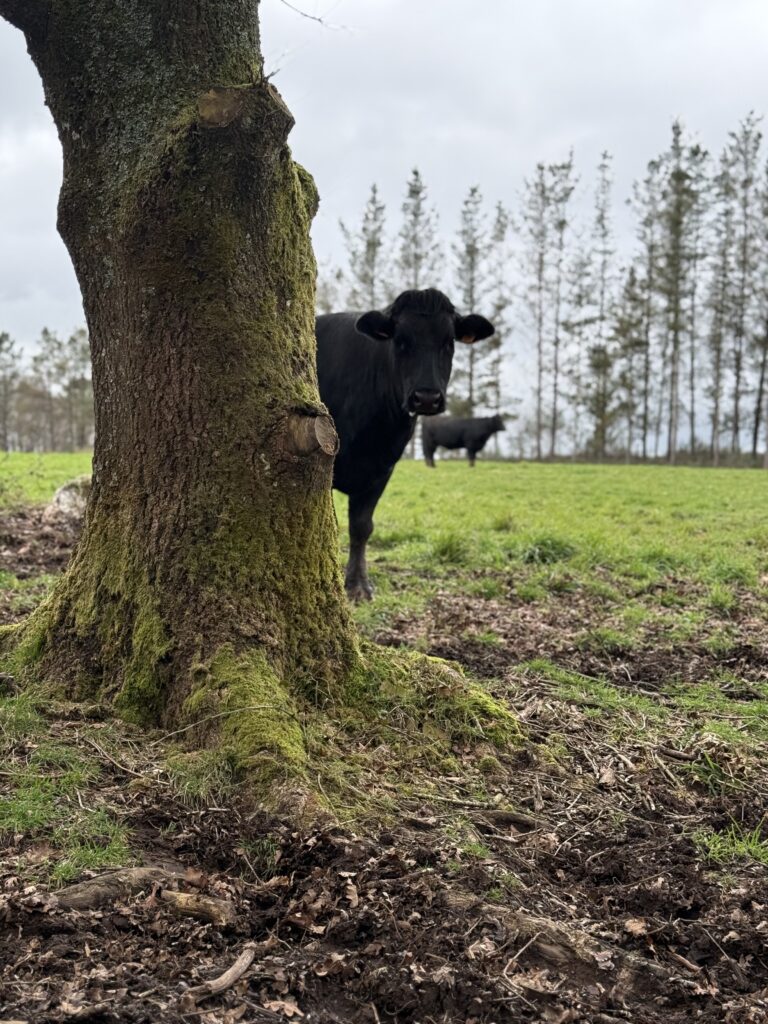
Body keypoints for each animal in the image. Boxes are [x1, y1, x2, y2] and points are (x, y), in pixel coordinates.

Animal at [316, 288, 494, 601]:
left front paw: (358, 585)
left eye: (448, 342)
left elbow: (361, 527)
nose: (426, 397)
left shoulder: (382, 468)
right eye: (400, 341)